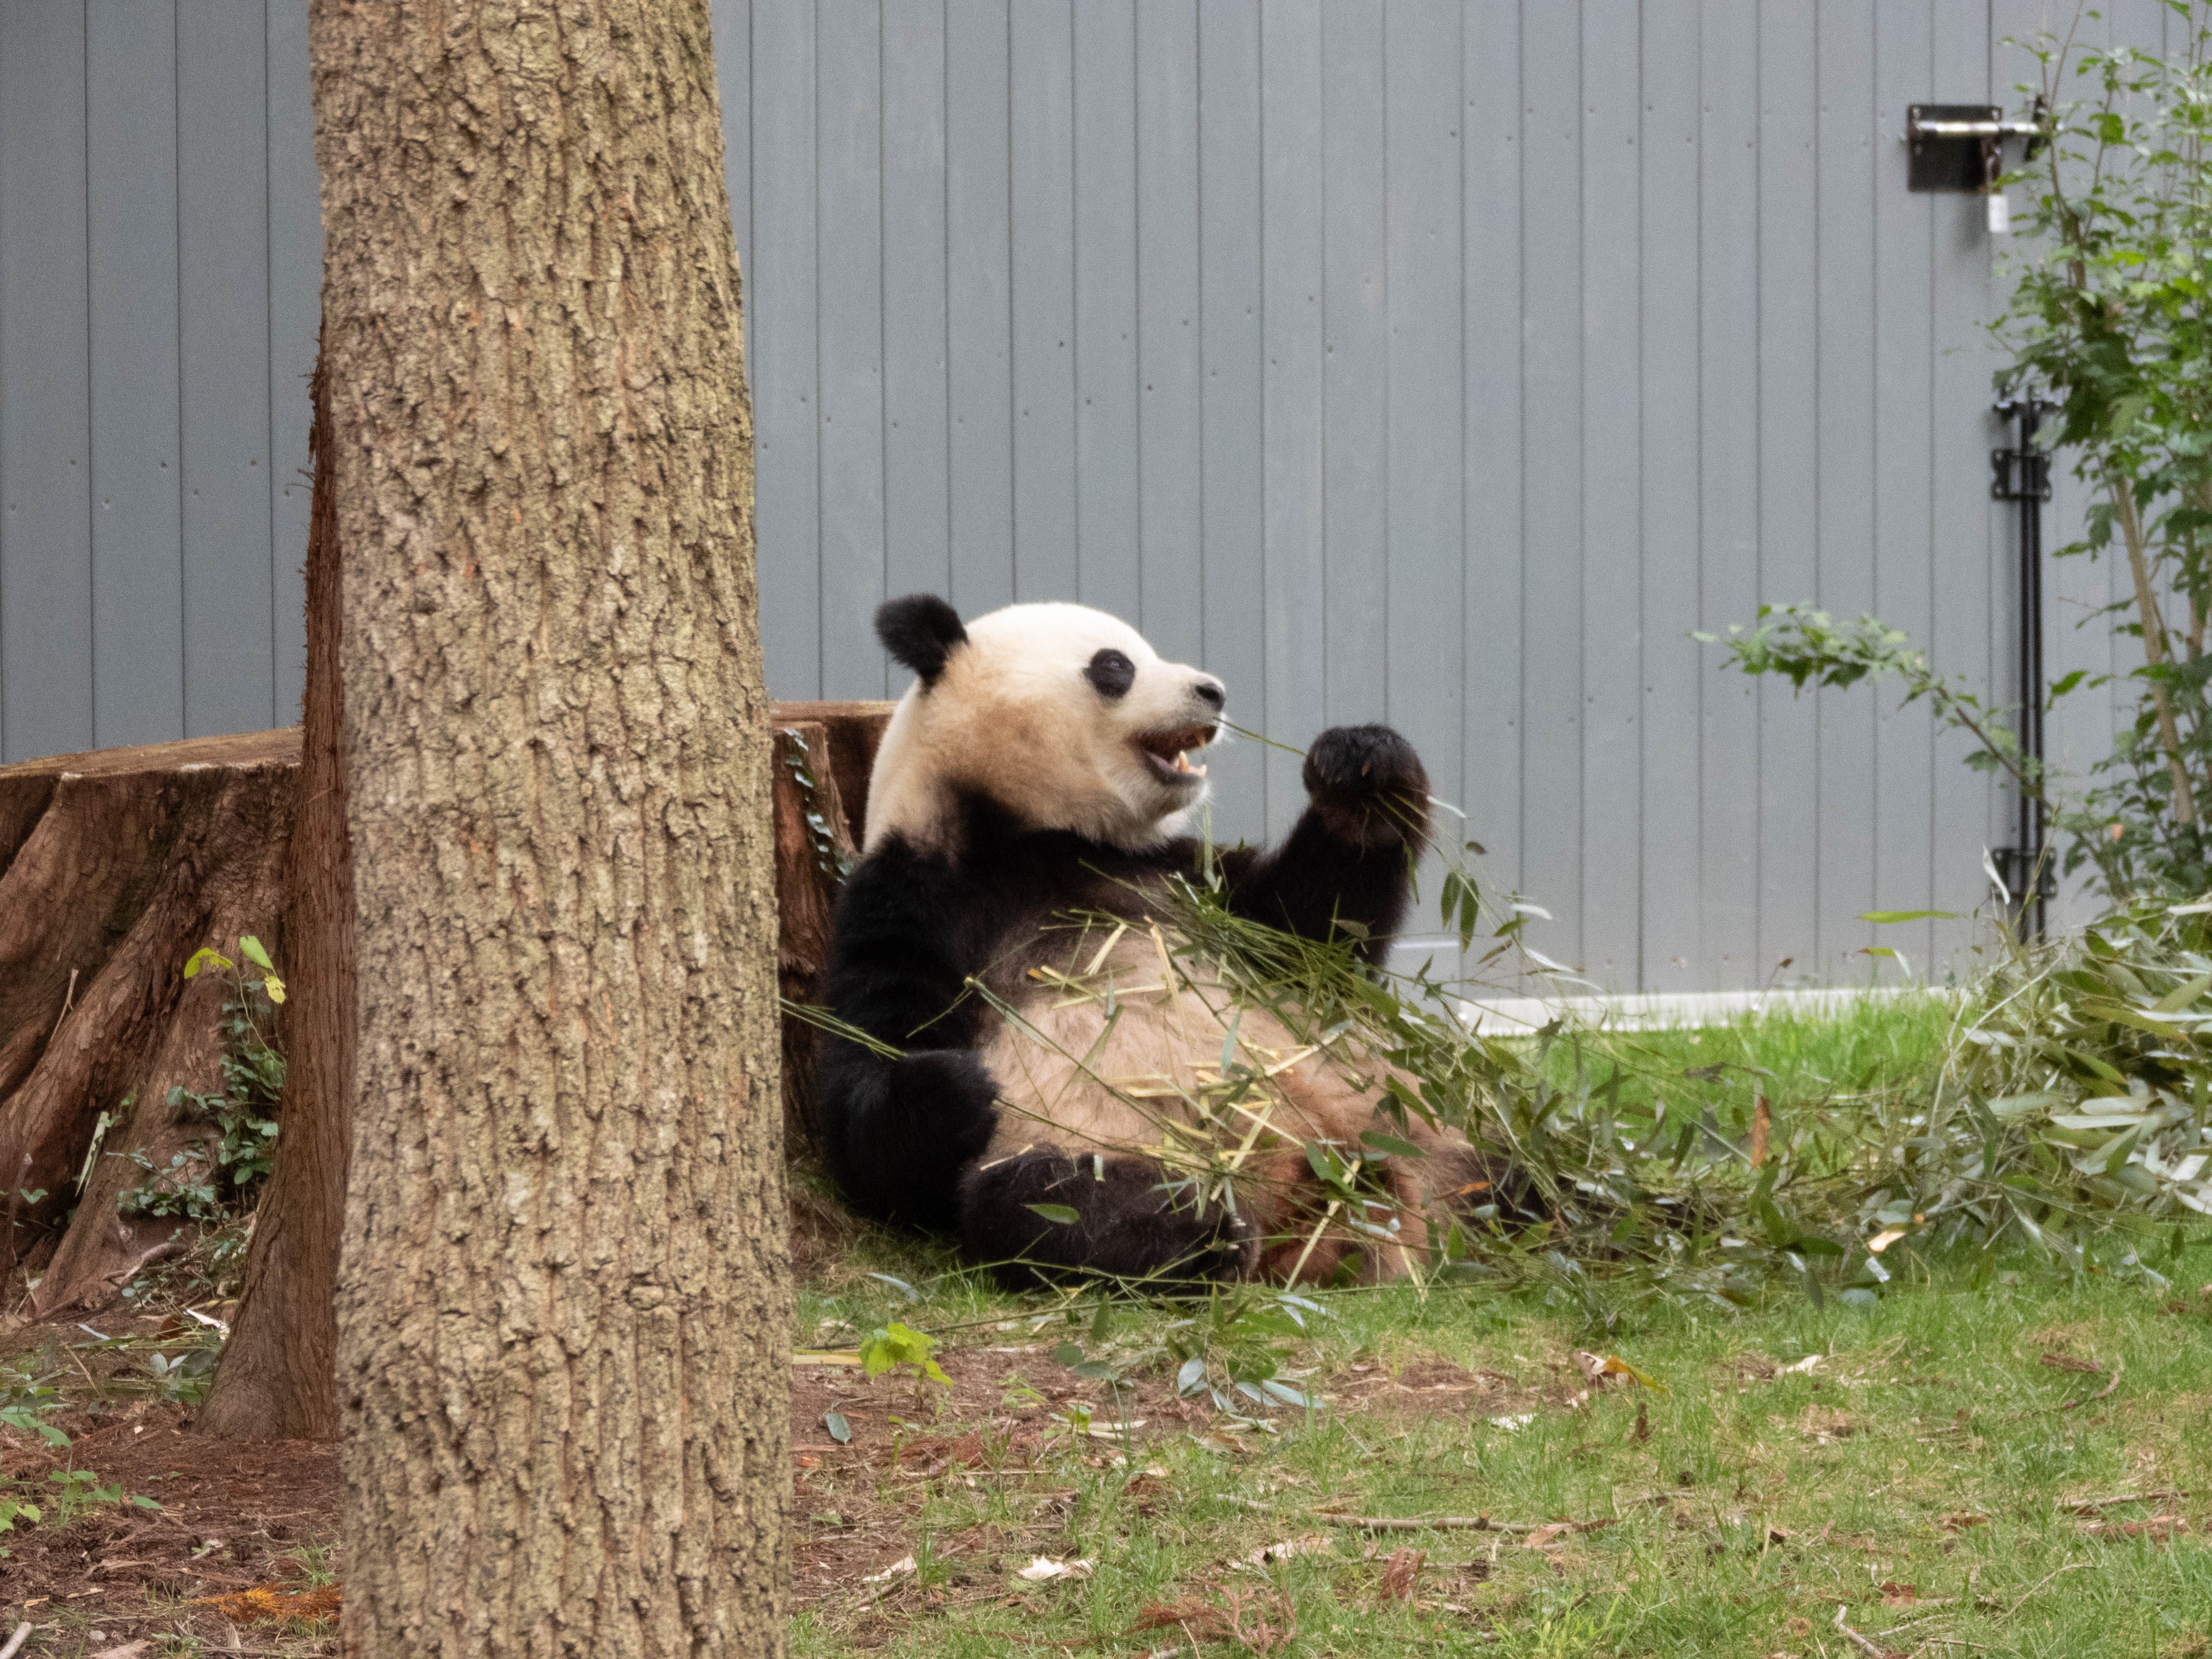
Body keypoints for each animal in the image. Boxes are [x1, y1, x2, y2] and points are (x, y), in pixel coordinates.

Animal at [817, 593, 1497, 1287]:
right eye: (1114, 666)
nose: (1214, 692)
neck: (1030, 832)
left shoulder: (1180, 879)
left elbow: (1316, 935)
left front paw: (1360, 766)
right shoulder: (915, 897)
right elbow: (870, 1098)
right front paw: (952, 1086)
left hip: (1418, 1115)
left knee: (1507, 1161)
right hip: (1101, 1144)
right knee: (1043, 1201)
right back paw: (1208, 1236)